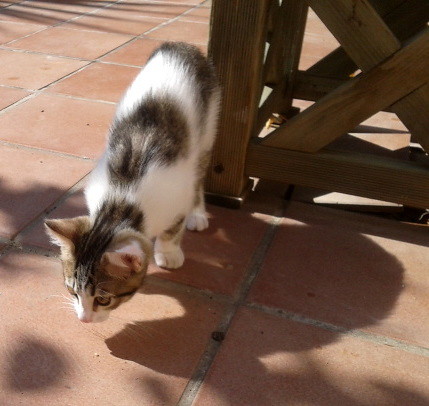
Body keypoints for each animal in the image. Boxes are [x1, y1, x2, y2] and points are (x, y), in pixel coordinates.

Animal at [46, 42, 221, 324]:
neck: (121, 201)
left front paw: (168, 252)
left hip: (207, 130)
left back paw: (197, 214)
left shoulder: (175, 196)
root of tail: (180, 46)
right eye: (72, 292)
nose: (83, 319)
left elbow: (173, 229)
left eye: (103, 299)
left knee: (199, 175)